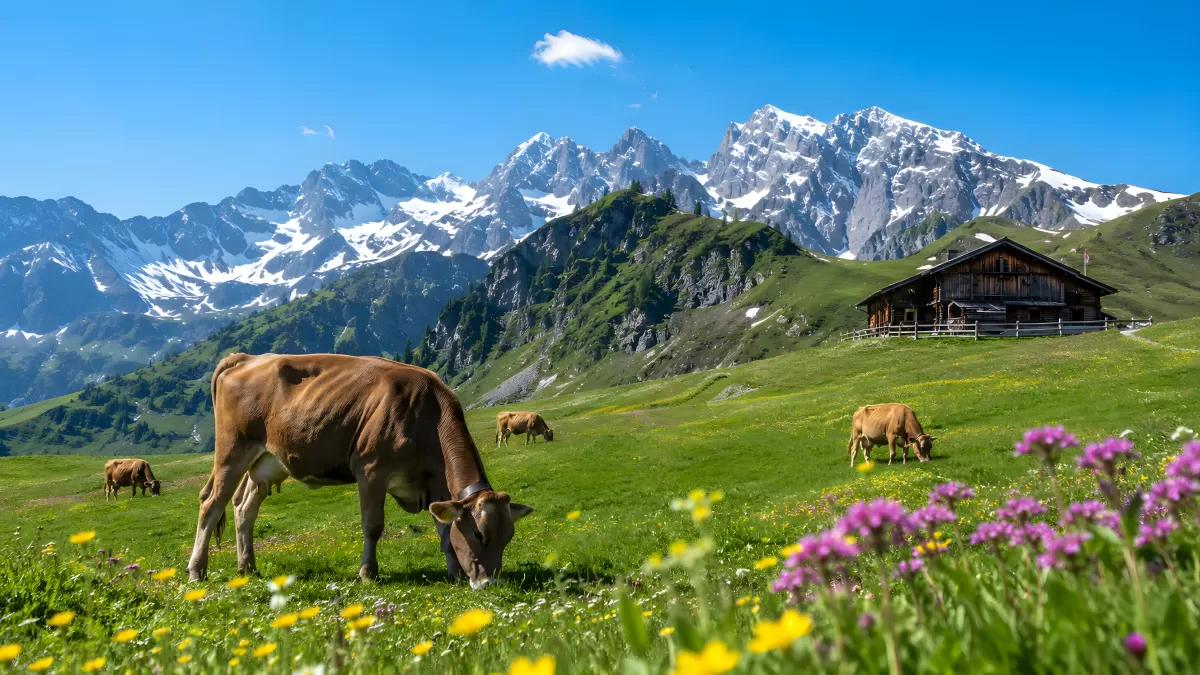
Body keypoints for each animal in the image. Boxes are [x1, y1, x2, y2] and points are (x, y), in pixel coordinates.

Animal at [187, 353, 533, 589]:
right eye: (479, 534)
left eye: (509, 537)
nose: (492, 583)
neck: (427, 418)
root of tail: (246, 357)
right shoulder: (371, 470)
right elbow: (373, 526)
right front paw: (368, 573)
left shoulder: (436, 485)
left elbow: (445, 529)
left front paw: (454, 572)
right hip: (233, 450)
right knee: (211, 503)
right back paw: (196, 571)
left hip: (267, 462)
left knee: (244, 508)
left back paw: (247, 567)